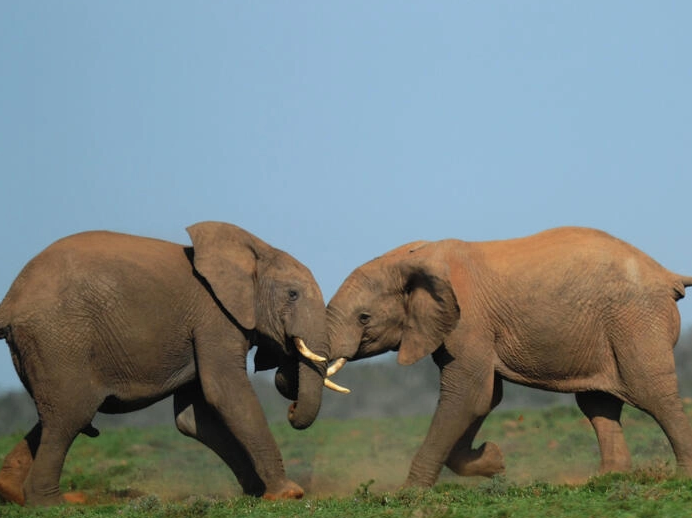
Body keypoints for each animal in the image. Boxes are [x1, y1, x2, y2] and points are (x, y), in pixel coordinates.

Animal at [0, 222, 347, 506]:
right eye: (292, 294)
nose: (291, 407)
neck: (255, 250)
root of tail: (10, 301)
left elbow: (194, 418)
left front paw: (256, 492)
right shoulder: (214, 318)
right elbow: (226, 393)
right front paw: (289, 493)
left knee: (57, 415)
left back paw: (13, 492)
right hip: (58, 340)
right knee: (71, 415)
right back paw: (49, 504)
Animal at [326, 226, 692, 488]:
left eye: (363, 318)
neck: (411, 257)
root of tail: (666, 274)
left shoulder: (468, 322)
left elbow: (468, 396)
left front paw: (409, 493)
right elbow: (484, 398)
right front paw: (495, 461)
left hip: (636, 321)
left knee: (652, 393)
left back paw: (681, 477)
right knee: (597, 403)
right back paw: (606, 478)